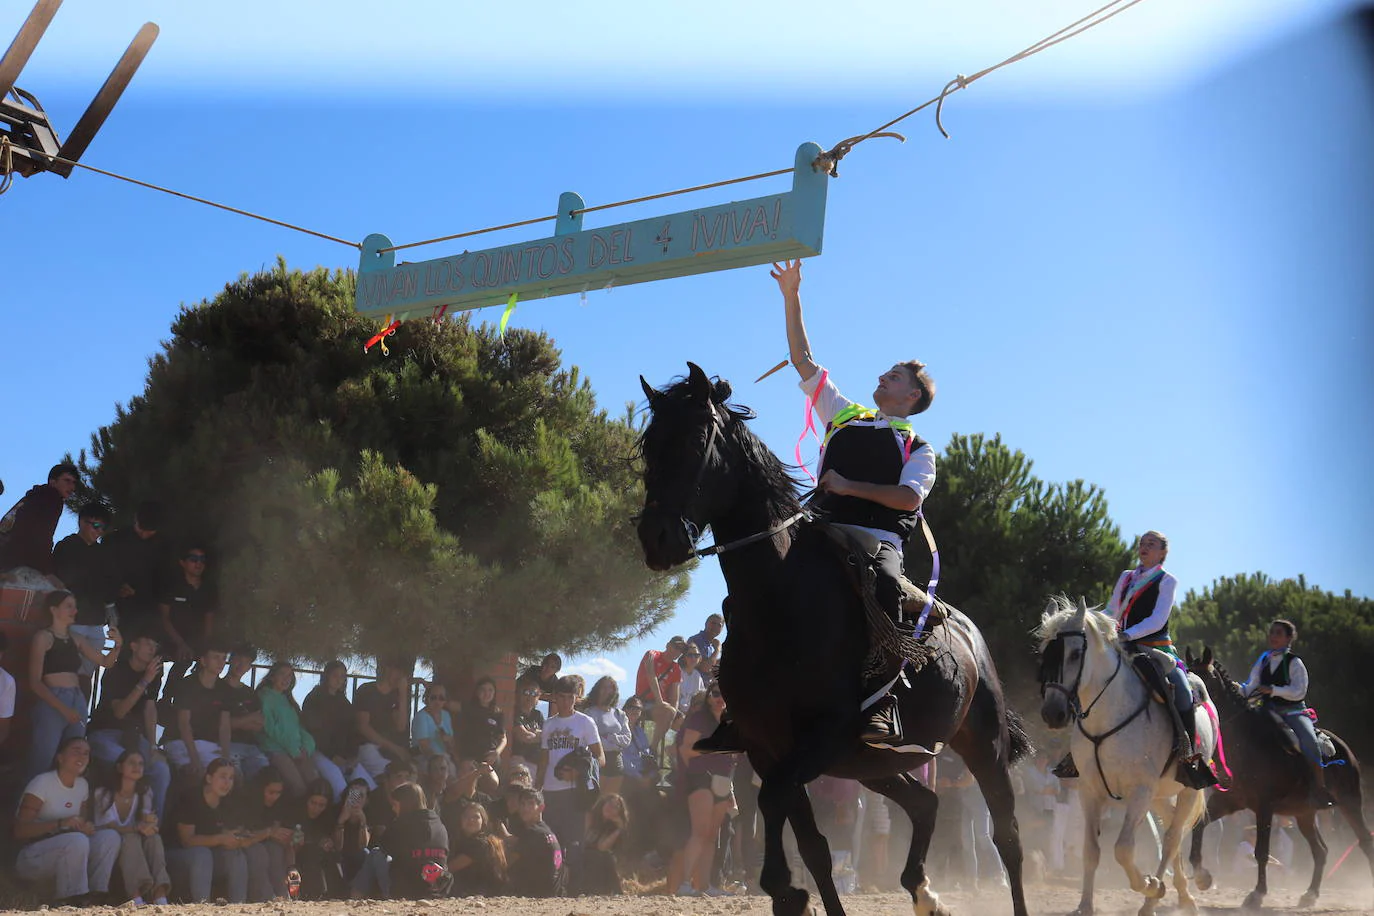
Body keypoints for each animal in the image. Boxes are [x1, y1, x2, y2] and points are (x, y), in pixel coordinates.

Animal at [637, 365, 1027, 916]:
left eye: (695, 441)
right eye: (650, 444)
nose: (656, 538)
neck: (780, 598)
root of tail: (973, 640)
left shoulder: (822, 739)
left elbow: (775, 804)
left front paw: (785, 888)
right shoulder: (769, 747)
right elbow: (813, 846)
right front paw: (793, 892)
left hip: (983, 747)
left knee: (1007, 839)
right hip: (874, 765)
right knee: (926, 802)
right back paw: (923, 891)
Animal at [1033, 596, 1220, 916]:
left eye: (1075, 654)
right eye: (1046, 653)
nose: (1053, 713)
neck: (1107, 716)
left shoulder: (1139, 791)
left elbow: (1122, 849)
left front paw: (1151, 885)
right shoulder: (1090, 791)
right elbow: (1091, 851)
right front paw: (1085, 905)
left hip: (1187, 790)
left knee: (1172, 838)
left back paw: (1153, 900)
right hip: (1159, 795)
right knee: (1172, 829)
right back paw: (1184, 895)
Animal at [1181, 645, 1374, 911]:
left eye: (1202, 682)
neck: (1245, 743)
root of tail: (1344, 748)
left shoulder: (1265, 807)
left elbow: (1261, 851)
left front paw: (1257, 894)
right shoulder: (1228, 802)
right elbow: (1199, 825)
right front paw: (1202, 877)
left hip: (1350, 802)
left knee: (1365, 840)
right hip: (1304, 814)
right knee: (1321, 851)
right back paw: (1310, 894)